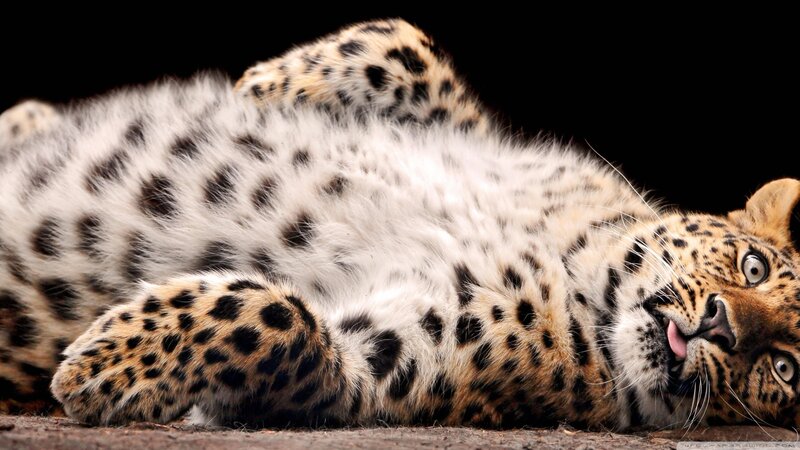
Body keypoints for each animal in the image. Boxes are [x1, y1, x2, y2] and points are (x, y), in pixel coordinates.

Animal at [0, 18, 798, 431]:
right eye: (751, 266)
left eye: (783, 368)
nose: (724, 326)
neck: (576, 267)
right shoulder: (479, 138)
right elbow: (407, 44)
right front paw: (264, 87)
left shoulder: (384, 370)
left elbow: (283, 319)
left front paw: (107, 365)